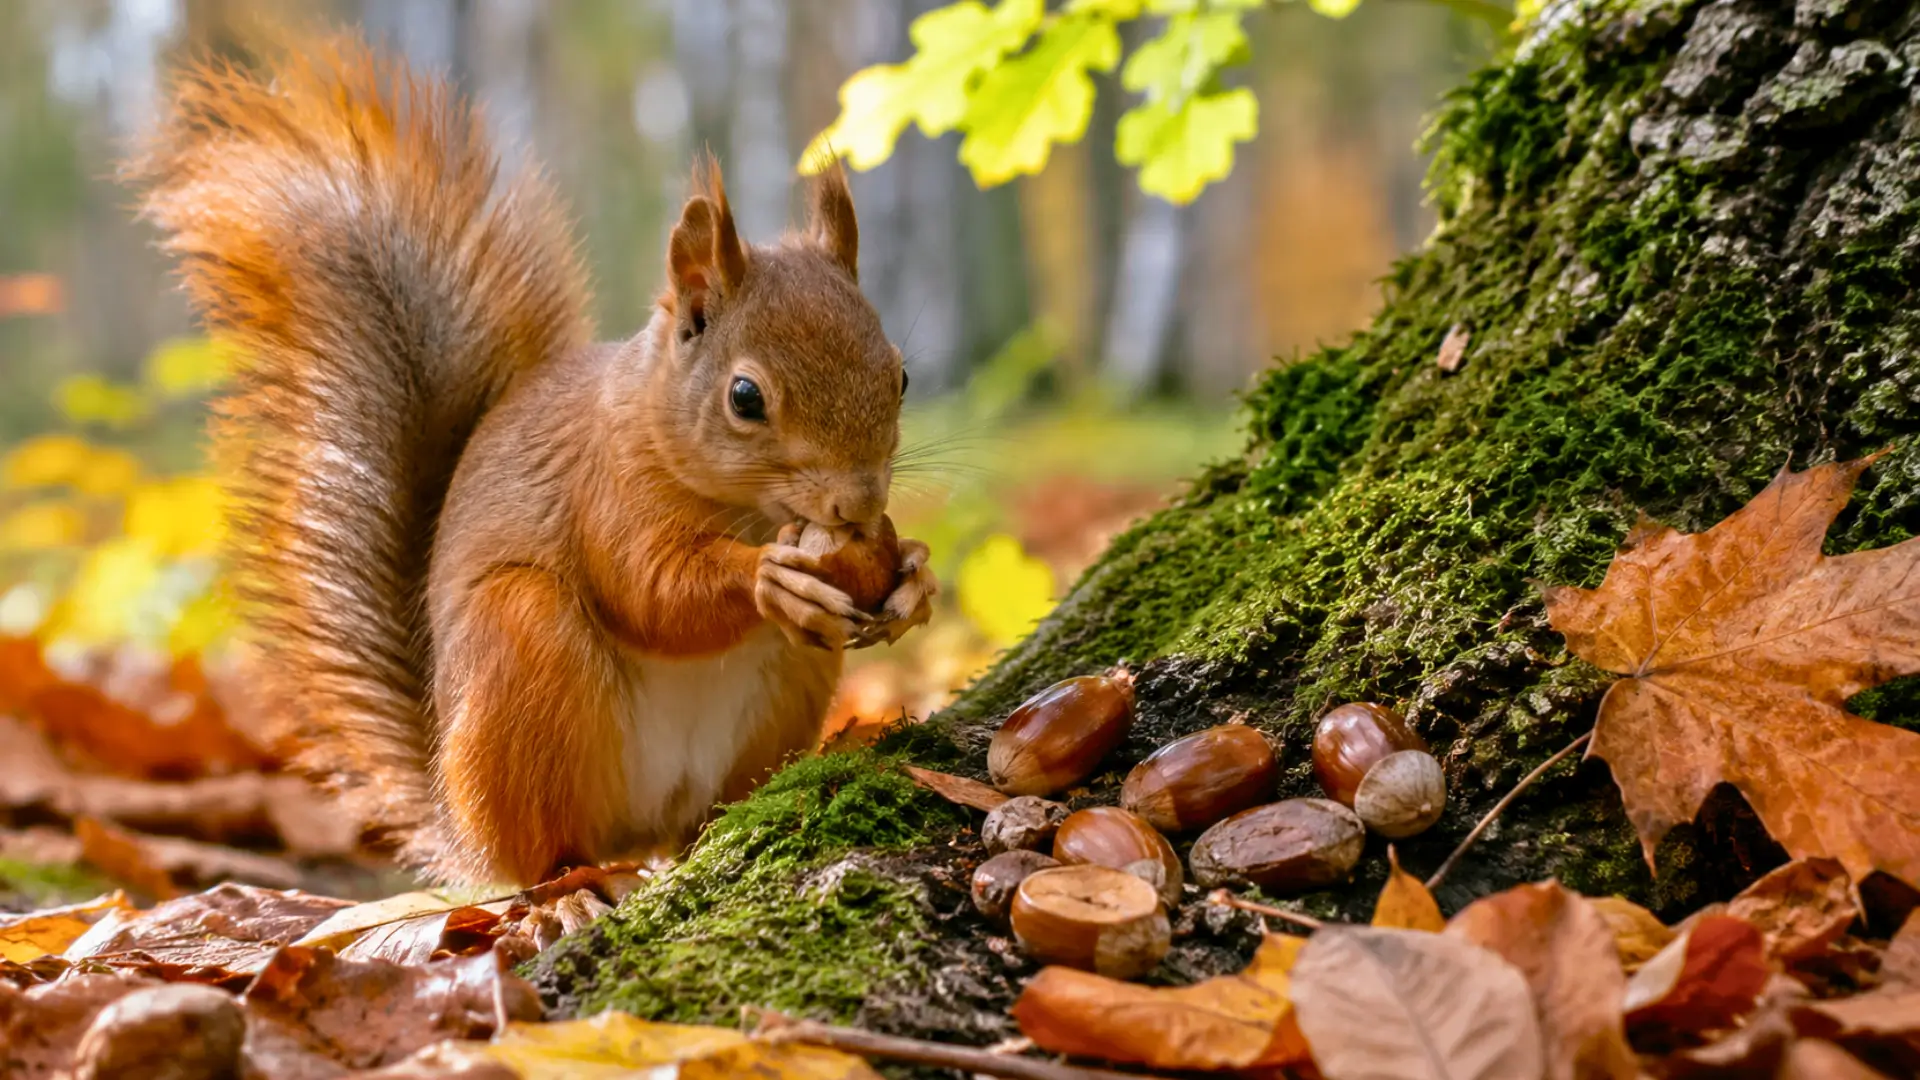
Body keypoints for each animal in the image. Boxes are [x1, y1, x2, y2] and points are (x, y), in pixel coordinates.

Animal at [125, 40, 936, 887]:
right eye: (745, 397)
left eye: (901, 376)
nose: (857, 505)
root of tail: (457, 827)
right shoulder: (604, 486)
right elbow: (647, 588)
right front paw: (769, 579)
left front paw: (915, 576)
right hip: (522, 647)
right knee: (537, 854)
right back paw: (567, 889)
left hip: (783, 698)